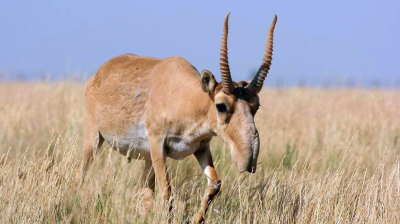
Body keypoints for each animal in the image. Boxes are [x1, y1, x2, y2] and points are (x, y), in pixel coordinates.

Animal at [79, 13, 276, 223]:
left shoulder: (201, 147)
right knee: (80, 172)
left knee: (145, 192)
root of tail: (100, 72)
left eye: (256, 106)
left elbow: (215, 184)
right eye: (221, 105)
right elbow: (167, 191)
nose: (249, 160)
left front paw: (196, 219)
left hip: (147, 158)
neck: (187, 98)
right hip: (94, 138)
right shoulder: (158, 145)